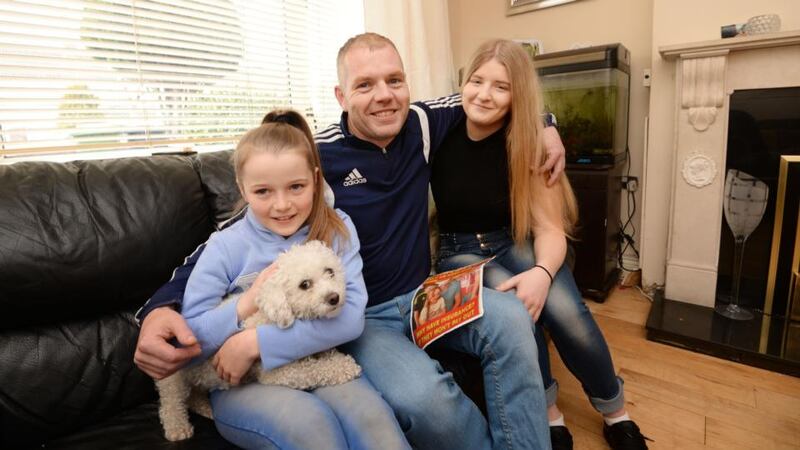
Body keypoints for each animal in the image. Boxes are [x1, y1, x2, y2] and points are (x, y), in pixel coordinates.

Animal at [154, 241, 366, 442]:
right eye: (304, 284)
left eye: (330, 271)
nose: (334, 297)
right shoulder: (278, 373)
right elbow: (313, 370)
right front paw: (344, 366)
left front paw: (332, 356)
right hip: (174, 377)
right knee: (171, 402)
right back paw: (177, 428)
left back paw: (204, 406)